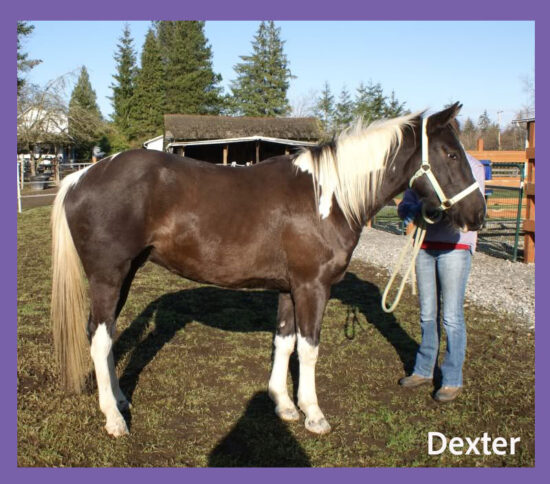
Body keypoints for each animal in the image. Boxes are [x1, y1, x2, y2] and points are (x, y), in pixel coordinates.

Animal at [51, 103, 486, 437]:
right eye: (450, 155)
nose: (478, 215)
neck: (327, 196)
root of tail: (80, 177)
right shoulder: (312, 287)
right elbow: (308, 349)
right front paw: (313, 414)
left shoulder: (289, 288)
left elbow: (284, 341)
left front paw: (284, 405)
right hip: (108, 276)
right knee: (100, 339)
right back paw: (114, 419)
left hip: (124, 274)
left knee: (103, 334)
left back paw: (120, 399)